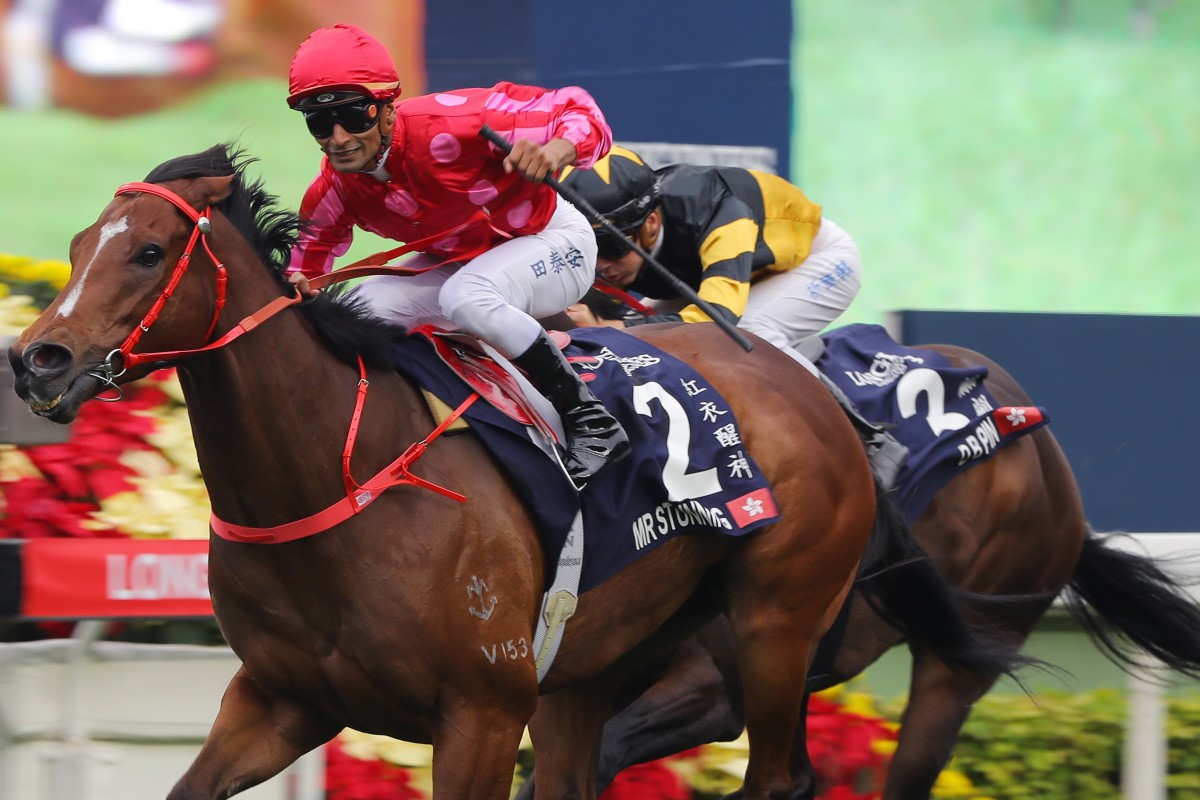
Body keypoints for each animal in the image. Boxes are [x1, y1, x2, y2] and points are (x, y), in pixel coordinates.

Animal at [2, 145, 1022, 800]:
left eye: (147, 252)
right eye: (80, 243)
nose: (38, 360)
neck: (337, 480)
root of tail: (814, 392)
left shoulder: (481, 714)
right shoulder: (280, 701)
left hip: (776, 622)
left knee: (779, 776)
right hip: (596, 663)